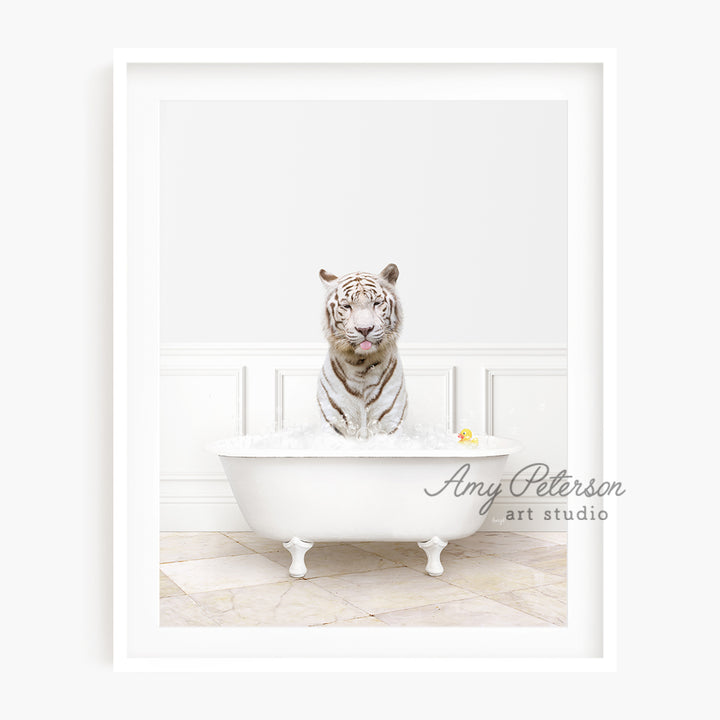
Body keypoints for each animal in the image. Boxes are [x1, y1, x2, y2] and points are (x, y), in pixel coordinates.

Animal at [318, 262, 408, 436]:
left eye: (377, 303)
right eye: (347, 306)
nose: (364, 329)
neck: (361, 365)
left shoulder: (391, 424)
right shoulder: (334, 423)